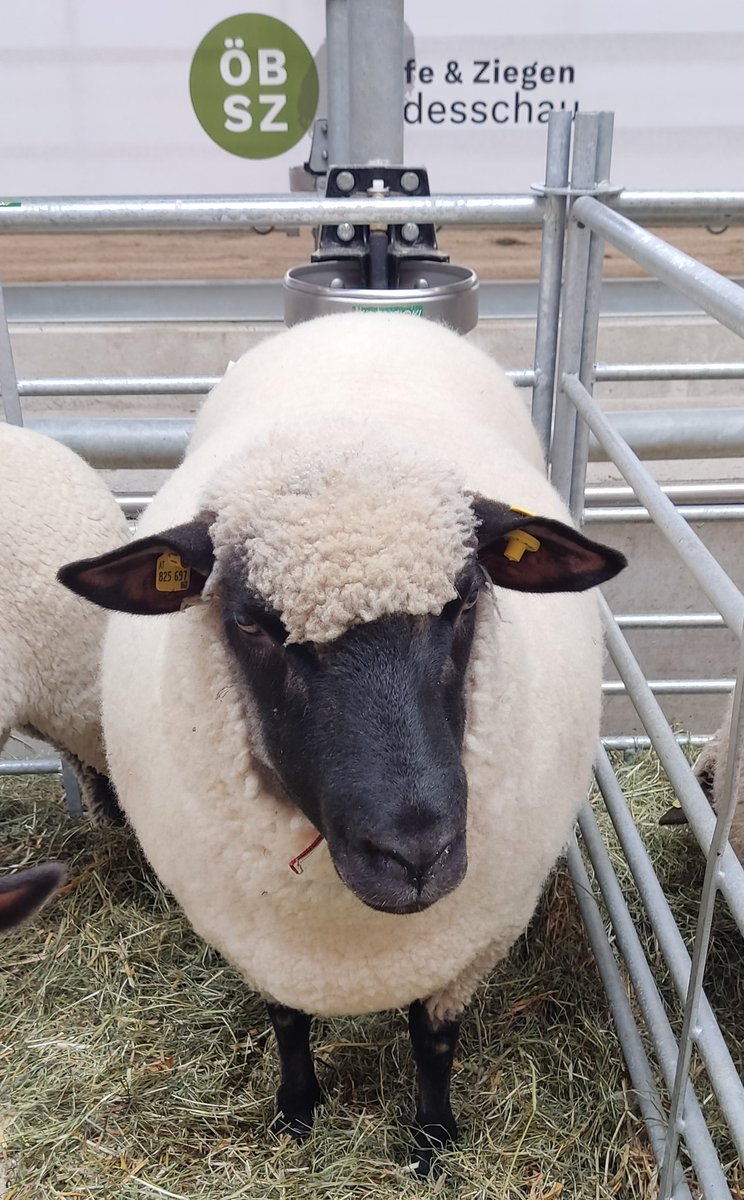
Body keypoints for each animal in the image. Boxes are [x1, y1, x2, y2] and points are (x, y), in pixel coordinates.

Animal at [59, 312, 626, 1173]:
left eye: (464, 602)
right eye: (254, 624)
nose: (416, 853)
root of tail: (367, 314)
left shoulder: (468, 944)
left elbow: (433, 1040)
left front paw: (431, 1142)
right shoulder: (259, 939)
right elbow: (288, 1022)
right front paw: (296, 1113)